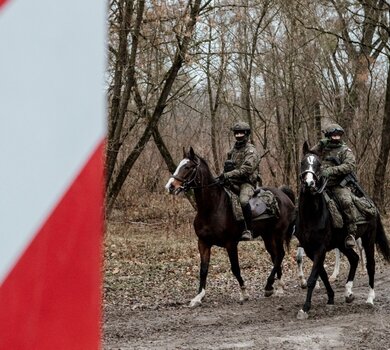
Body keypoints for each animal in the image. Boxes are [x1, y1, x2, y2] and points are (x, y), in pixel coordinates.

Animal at [165, 147, 296, 306]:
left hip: (278, 234)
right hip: (267, 236)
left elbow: (235, 268)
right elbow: (203, 269)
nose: (170, 186)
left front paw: (244, 293)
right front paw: (198, 296)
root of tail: (283, 195)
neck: (212, 207)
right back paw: (278, 287)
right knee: (276, 256)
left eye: (188, 167)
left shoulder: (231, 244)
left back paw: (269, 285)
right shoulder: (203, 243)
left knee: (280, 255)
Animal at [296, 142, 390, 320]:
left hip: (368, 239)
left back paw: (370, 299)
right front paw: (331, 298)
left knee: (370, 265)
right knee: (354, 259)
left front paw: (305, 308)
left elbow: (313, 277)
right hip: (343, 243)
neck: (312, 214)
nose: (309, 183)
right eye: (303, 162)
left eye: (319, 165)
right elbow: (322, 274)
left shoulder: (320, 249)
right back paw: (348, 293)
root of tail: (372, 204)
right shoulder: (310, 249)